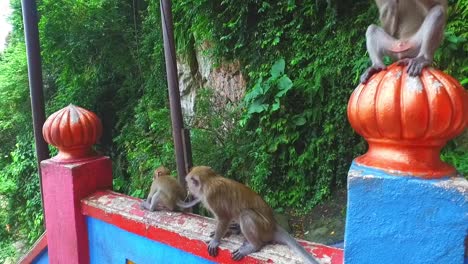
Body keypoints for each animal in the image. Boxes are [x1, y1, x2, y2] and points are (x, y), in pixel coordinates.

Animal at [181, 167, 320, 264]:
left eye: (188, 182)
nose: (187, 188)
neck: (210, 180)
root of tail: (273, 225)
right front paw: (224, 232)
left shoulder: (211, 197)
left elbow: (224, 218)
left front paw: (216, 240)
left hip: (263, 228)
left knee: (246, 215)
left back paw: (253, 245)